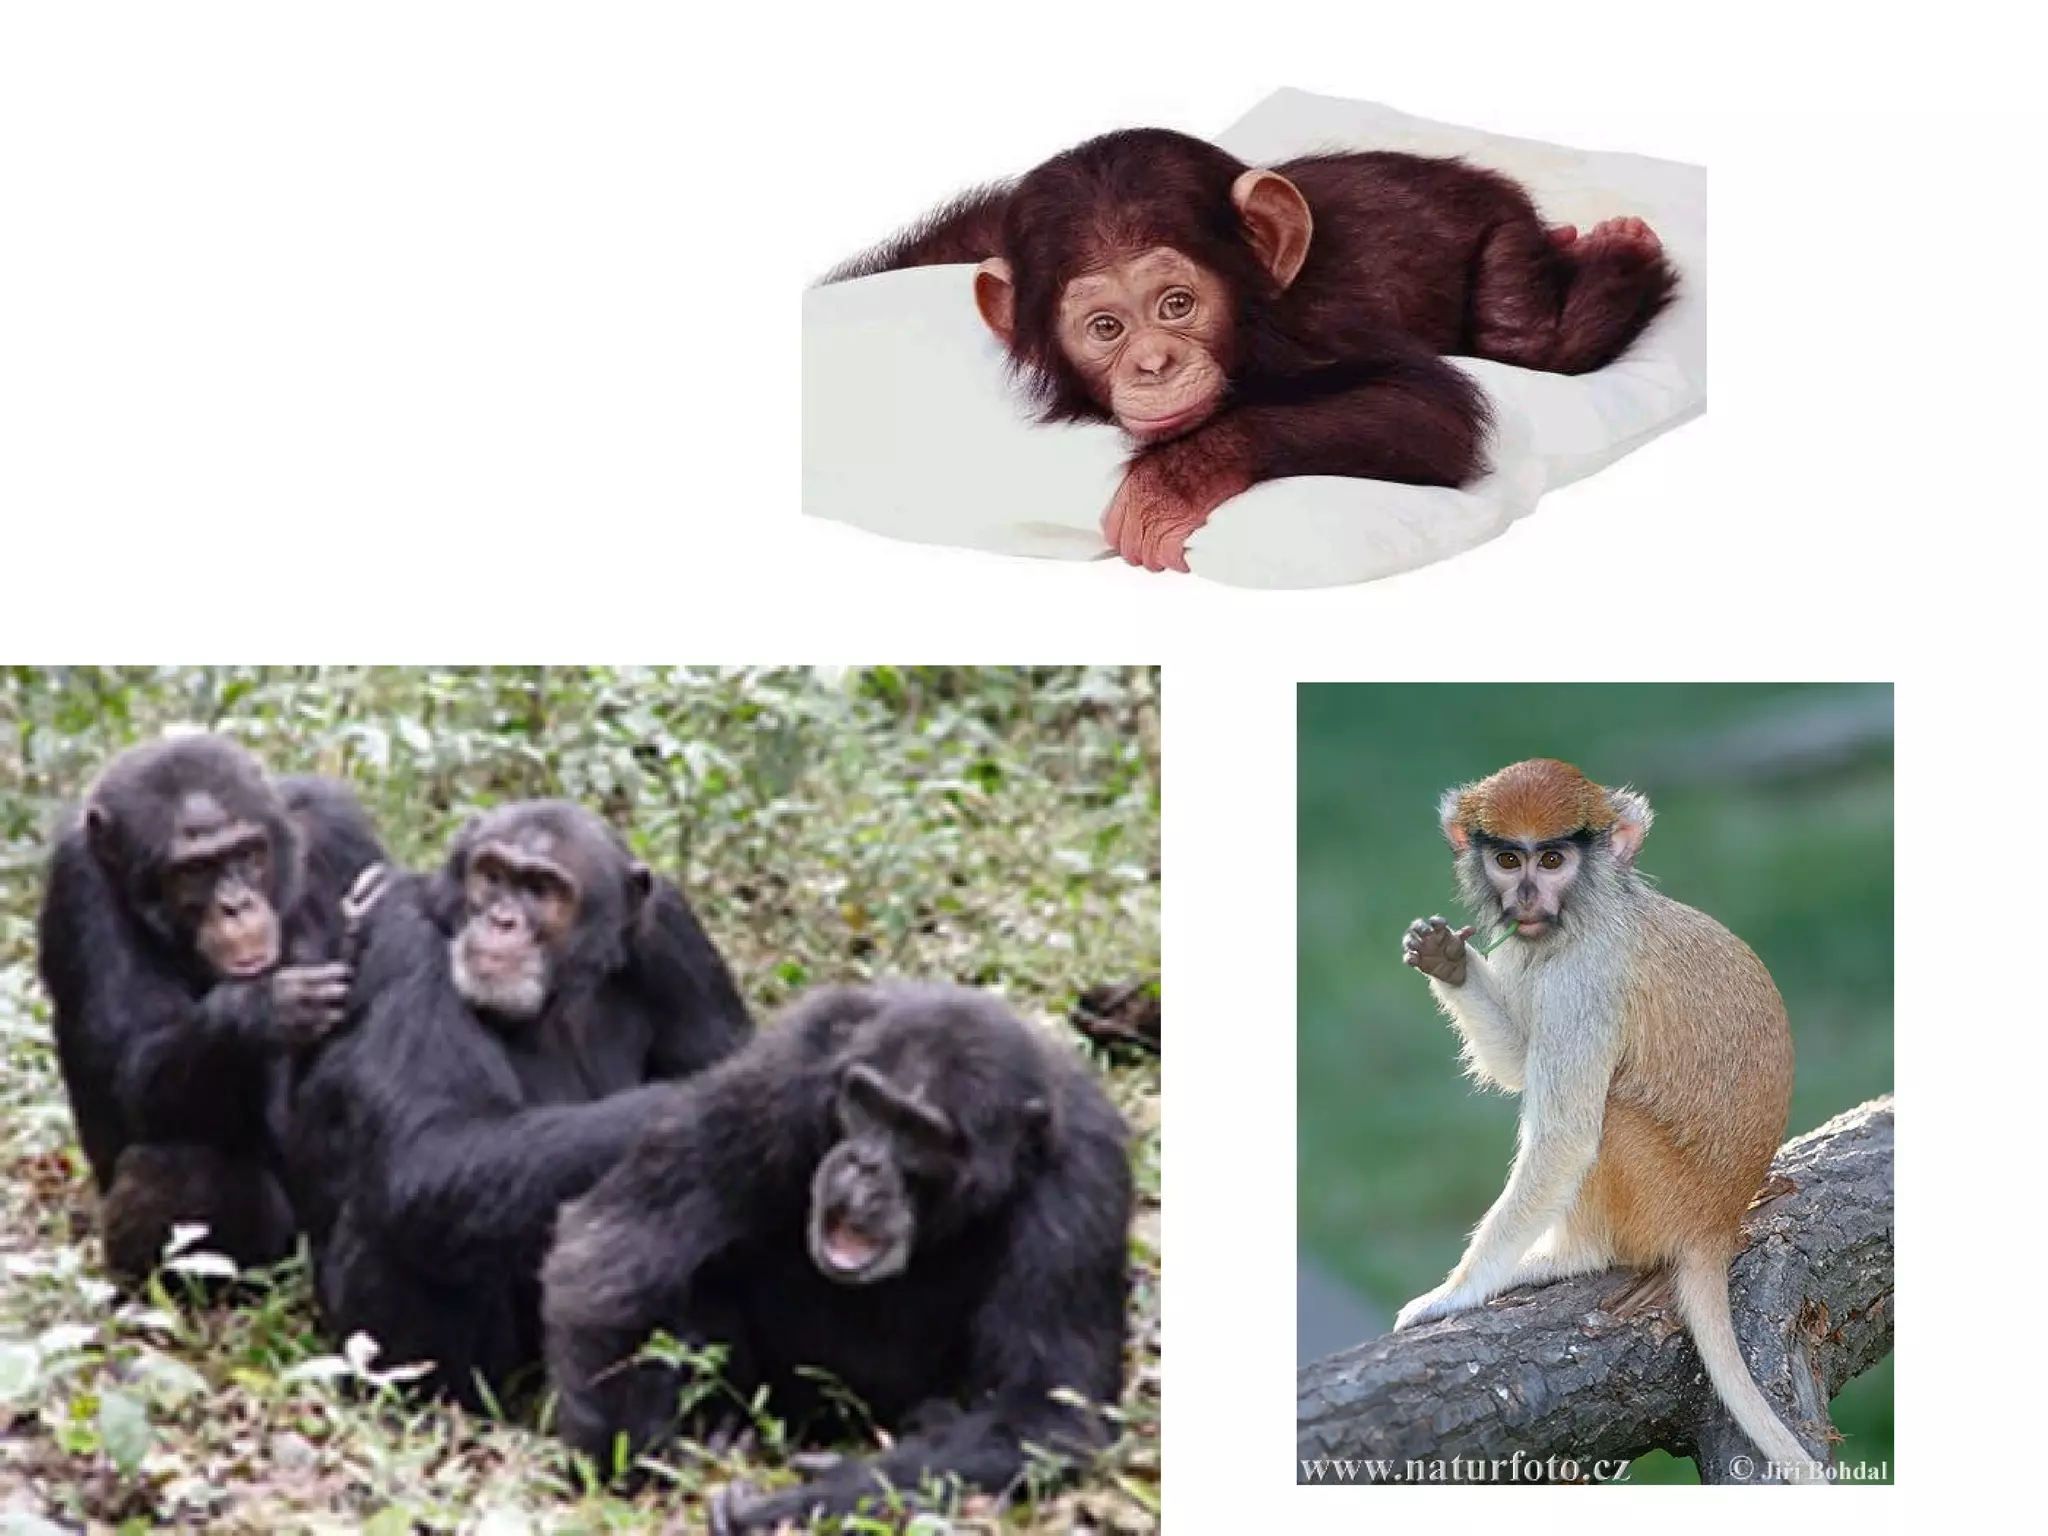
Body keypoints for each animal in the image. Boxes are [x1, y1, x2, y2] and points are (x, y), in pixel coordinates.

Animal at [1394, 757, 1822, 1482]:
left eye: (1554, 858)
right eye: (1508, 858)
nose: (1526, 898)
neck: (1592, 911)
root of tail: (1716, 1224)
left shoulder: (1584, 983)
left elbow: (1565, 1137)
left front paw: (1456, 1293)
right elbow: (1519, 1060)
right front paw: (1445, 957)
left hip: (1657, 1198)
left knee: (1607, 1123)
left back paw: (1569, 1255)